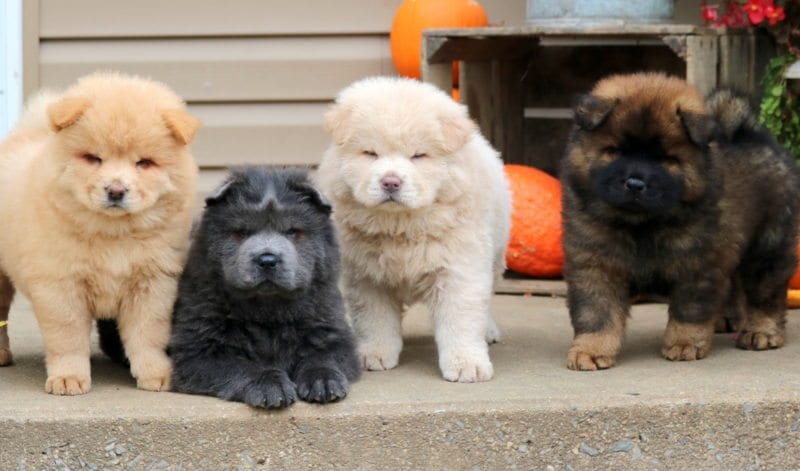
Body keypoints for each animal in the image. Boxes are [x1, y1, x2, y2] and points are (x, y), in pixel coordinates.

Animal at [0, 74, 199, 396]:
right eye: (93, 158)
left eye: (144, 163)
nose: (116, 190)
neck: (113, 233)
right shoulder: (61, 286)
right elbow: (68, 339)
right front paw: (68, 379)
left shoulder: (153, 283)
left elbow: (148, 335)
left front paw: (158, 375)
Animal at [170, 168, 360, 408]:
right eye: (241, 233)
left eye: (292, 232)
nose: (267, 259)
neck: (269, 311)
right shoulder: (198, 349)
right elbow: (241, 365)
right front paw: (271, 386)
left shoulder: (330, 328)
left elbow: (323, 355)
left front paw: (323, 381)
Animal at [316, 75, 510, 382]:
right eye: (370, 153)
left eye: (418, 156)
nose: (390, 181)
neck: (401, 226)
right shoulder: (365, 276)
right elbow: (374, 319)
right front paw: (374, 354)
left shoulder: (459, 268)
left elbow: (461, 320)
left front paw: (467, 365)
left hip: (494, 258)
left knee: (487, 299)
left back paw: (489, 331)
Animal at [560, 74, 800, 370]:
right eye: (615, 151)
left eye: (665, 158)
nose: (635, 184)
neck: (641, 225)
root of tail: (750, 136)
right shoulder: (595, 265)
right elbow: (597, 313)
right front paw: (590, 351)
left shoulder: (696, 266)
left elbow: (689, 312)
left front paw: (684, 344)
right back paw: (725, 319)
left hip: (768, 244)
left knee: (766, 292)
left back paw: (761, 332)